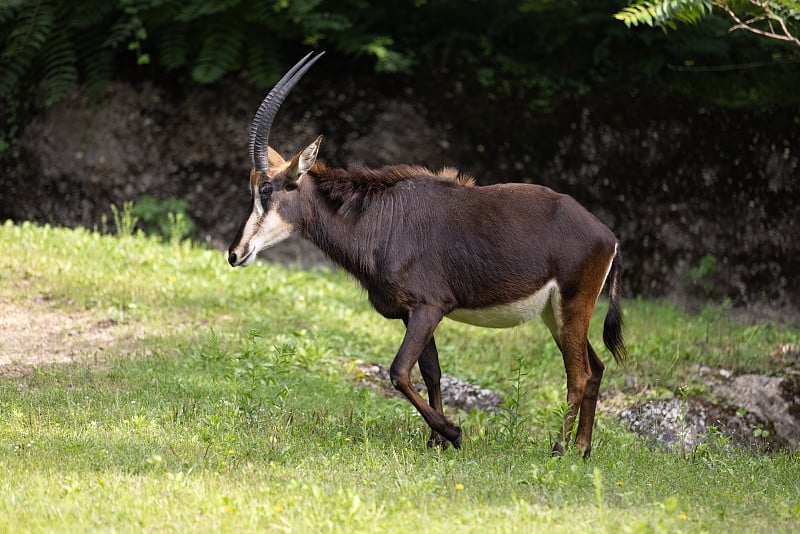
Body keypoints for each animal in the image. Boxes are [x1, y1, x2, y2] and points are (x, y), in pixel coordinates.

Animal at [228, 52, 628, 458]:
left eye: (267, 189)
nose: (235, 253)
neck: (379, 218)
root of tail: (608, 237)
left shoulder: (429, 307)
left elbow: (399, 371)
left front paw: (453, 433)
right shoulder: (413, 313)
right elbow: (430, 372)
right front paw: (436, 440)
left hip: (572, 306)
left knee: (578, 374)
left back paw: (560, 449)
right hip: (555, 313)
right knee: (595, 368)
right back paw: (583, 449)